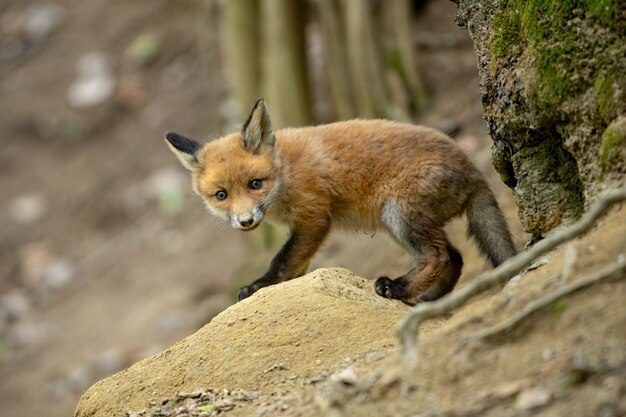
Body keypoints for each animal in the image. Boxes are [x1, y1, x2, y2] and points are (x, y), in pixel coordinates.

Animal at [163, 99, 516, 304]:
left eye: (255, 184)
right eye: (221, 195)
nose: (246, 221)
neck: (286, 173)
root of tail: (473, 168)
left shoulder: (315, 218)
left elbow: (281, 260)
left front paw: (260, 285)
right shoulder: (302, 228)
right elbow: (296, 266)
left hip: (398, 215)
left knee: (438, 256)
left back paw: (397, 289)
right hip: (397, 226)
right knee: (454, 257)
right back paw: (426, 299)